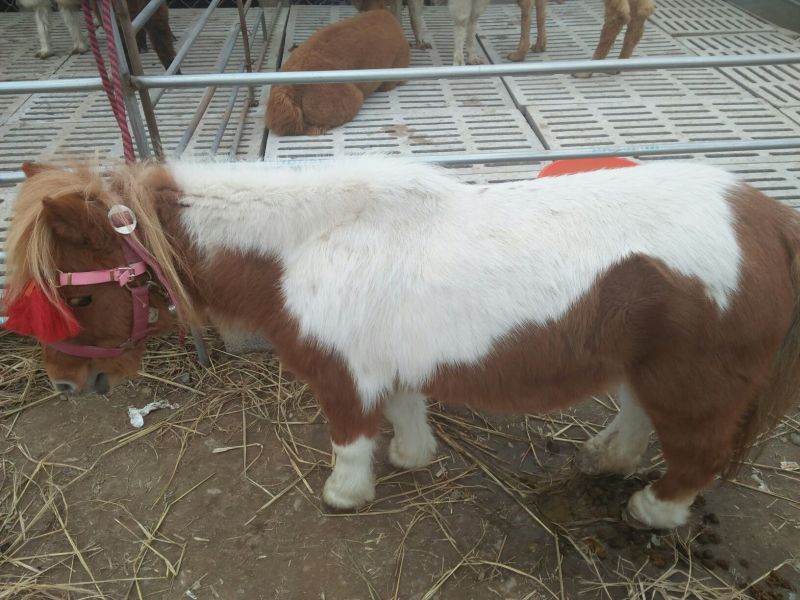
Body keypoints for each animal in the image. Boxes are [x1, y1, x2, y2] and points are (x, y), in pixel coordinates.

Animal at [5, 157, 800, 530]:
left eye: (78, 296)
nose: (66, 384)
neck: (307, 242)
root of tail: (768, 218)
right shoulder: (386, 361)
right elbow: (406, 410)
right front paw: (414, 458)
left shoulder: (340, 374)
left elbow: (352, 438)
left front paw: (345, 496)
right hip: (651, 370)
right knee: (639, 419)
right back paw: (603, 460)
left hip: (694, 385)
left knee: (696, 455)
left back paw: (651, 511)